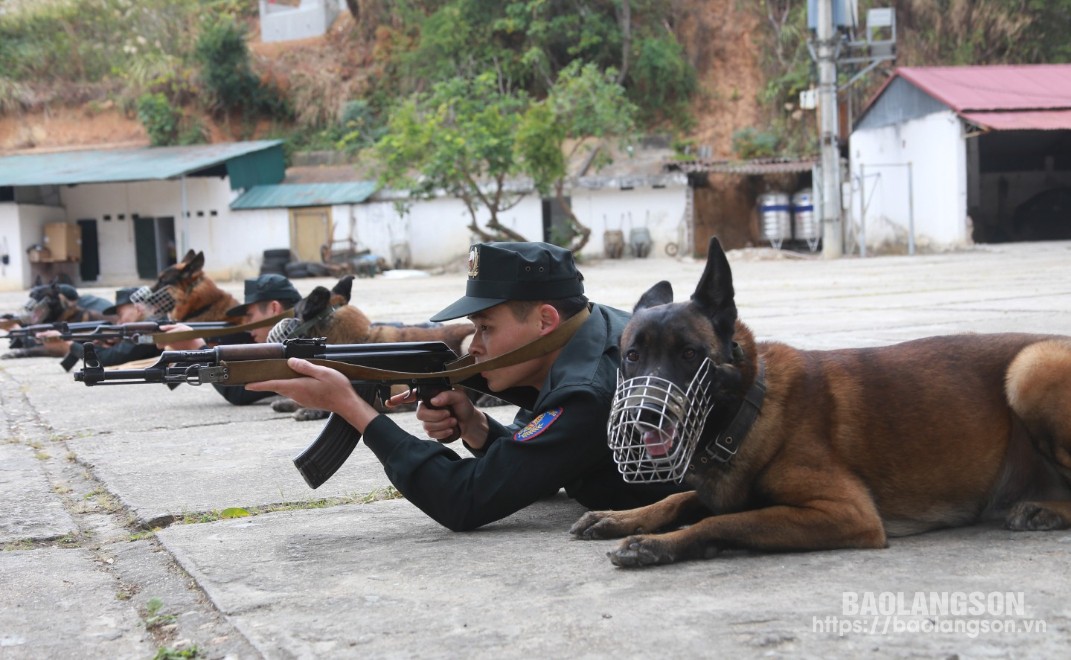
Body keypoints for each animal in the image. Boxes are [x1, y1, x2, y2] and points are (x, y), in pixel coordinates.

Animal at [574, 236, 1071, 565]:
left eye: (690, 355)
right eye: (632, 356)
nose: (642, 415)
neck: (750, 408)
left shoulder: (847, 514)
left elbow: (723, 522)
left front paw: (657, 544)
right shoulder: (724, 488)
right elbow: (681, 499)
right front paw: (621, 517)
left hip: (1030, 368)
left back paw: (1043, 510)